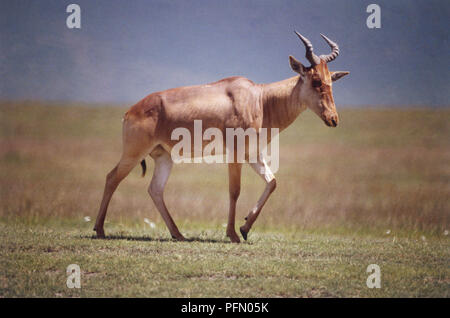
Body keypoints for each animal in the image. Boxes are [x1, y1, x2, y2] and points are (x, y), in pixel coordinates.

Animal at [93, 31, 350, 243]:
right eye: (315, 81)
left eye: (330, 81)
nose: (333, 119)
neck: (259, 99)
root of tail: (131, 110)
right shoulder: (235, 154)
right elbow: (234, 190)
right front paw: (233, 234)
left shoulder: (252, 154)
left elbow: (272, 182)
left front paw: (245, 228)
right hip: (134, 152)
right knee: (112, 178)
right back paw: (100, 230)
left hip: (164, 156)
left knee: (155, 190)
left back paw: (178, 234)